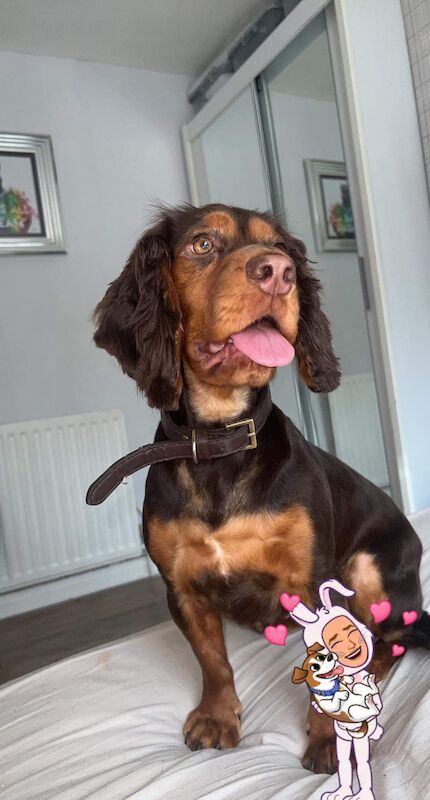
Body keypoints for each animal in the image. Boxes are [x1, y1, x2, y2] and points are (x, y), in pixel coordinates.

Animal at [91, 203, 430, 772]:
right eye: (203, 244)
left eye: (283, 250)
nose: (278, 273)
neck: (220, 445)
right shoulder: (181, 587)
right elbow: (212, 661)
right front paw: (217, 716)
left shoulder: (311, 578)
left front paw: (328, 739)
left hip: (371, 568)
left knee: (392, 640)